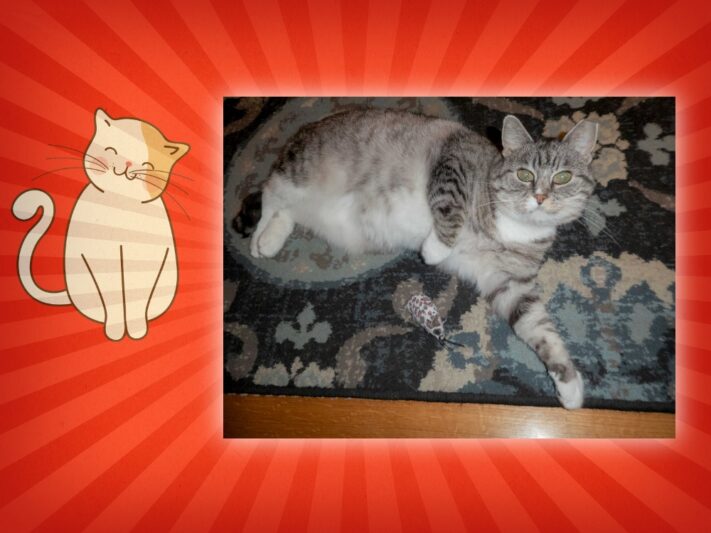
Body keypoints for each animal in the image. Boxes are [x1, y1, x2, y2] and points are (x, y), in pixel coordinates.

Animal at [12, 108, 191, 340]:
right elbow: (112, 295)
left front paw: (136, 330)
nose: (127, 163)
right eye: (112, 151)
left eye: (147, 165)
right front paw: (116, 331)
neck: (121, 206)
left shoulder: (146, 259)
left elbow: (137, 297)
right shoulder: (100, 258)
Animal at [248, 107, 596, 408]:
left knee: (287, 213)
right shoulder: (454, 158)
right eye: (524, 174)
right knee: (269, 194)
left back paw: (271, 238)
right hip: (299, 172)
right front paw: (436, 248)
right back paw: (258, 242)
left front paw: (569, 383)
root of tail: (305, 128)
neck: (514, 227)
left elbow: (538, 326)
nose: (540, 197)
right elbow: (451, 207)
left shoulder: (509, 282)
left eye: (563, 177)